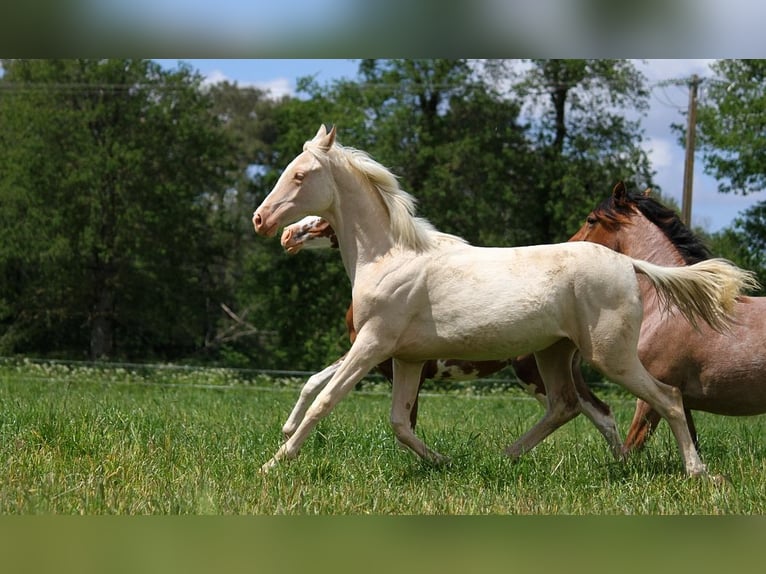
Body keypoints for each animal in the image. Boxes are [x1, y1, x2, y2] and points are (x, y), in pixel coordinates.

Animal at [254, 125, 756, 476]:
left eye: (300, 175)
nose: (264, 222)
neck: (390, 256)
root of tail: (628, 264)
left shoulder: (373, 345)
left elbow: (327, 399)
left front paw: (273, 463)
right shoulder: (406, 358)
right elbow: (398, 421)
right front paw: (442, 462)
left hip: (609, 355)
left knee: (665, 399)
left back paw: (697, 472)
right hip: (554, 354)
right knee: (567, 406)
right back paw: (508, 457)